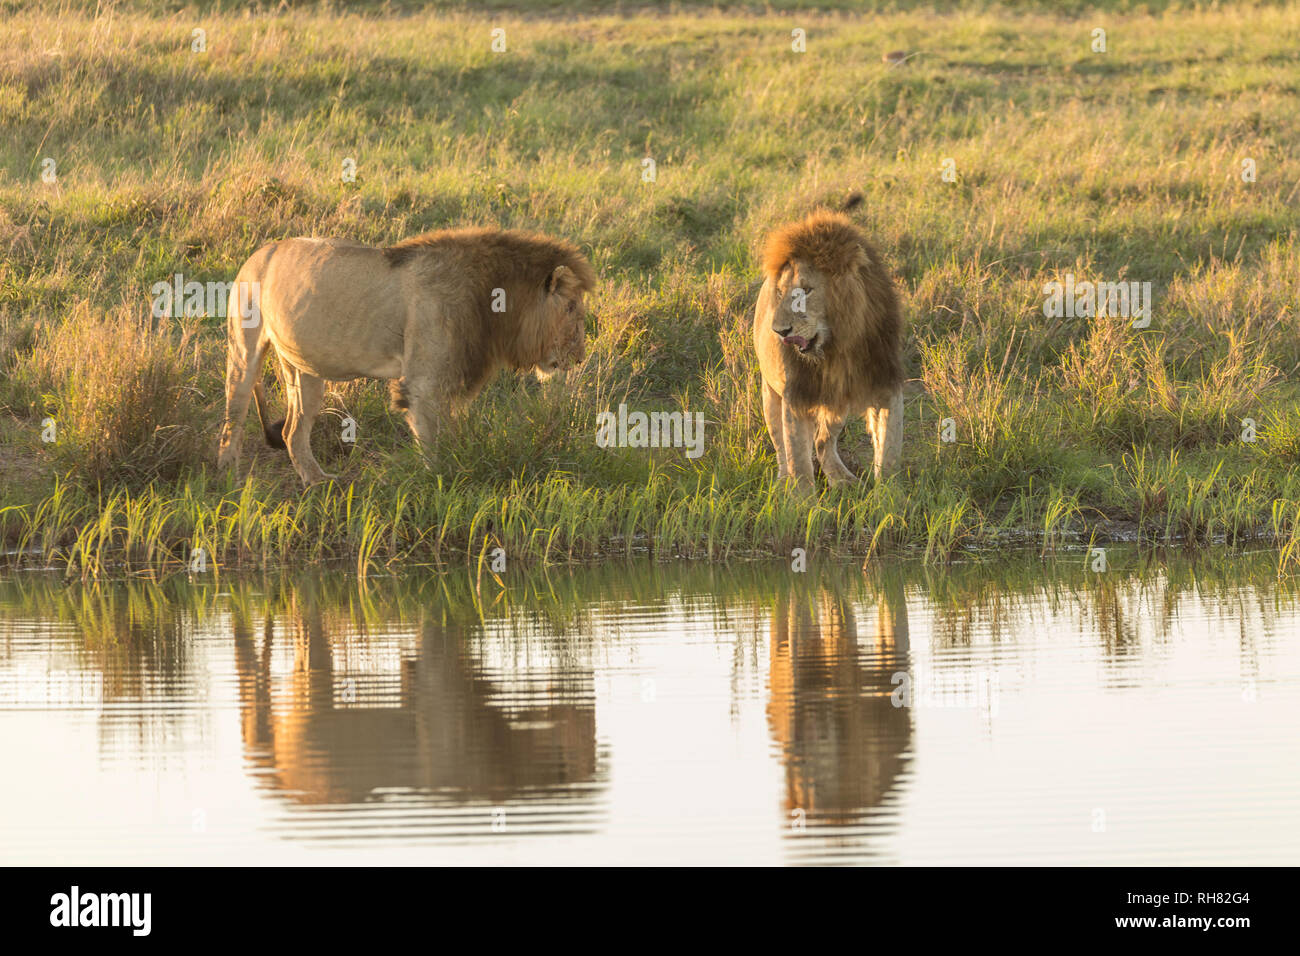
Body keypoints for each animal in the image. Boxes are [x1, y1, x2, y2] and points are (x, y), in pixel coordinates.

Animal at [217, 226, 595, 486]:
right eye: (572, 308)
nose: (580, 356)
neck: (495, 302)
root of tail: (261, 251)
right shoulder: (424, 382)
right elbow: (433, 439)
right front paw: (442, 482)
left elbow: (446, 433)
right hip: (244, 347)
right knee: (234, 415)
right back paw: (228, 476)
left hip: (305, 368)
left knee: (293, 431)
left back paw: (318, 481)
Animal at [754, 197, 904, 489]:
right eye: (780, 292)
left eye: (806, 291)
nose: (779, 331)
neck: (839, 346)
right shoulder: (796, 394)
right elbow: (798, 463)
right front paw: (800, 499)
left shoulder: (885, 382)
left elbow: (890, 451)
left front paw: (890, 496)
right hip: (770, 394)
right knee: (781, 449)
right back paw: (783, 482)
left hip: (838, 404)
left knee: (823, 441)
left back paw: (843, 479)